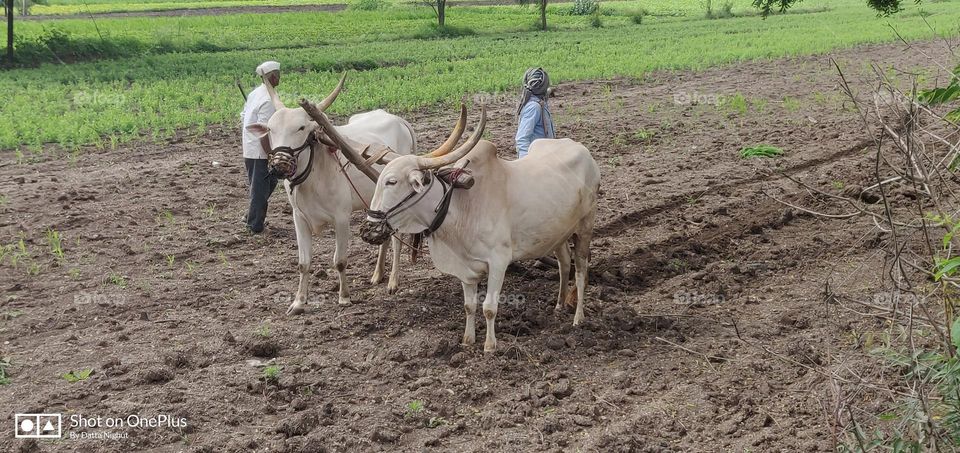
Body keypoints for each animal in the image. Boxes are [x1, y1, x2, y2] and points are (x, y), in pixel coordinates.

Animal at [245, 75, 467, 315]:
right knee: (385, 236)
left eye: (301, 127)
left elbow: (340, 260)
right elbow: (303, 263)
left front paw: (344, 297)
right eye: (270, 129)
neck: (313, 174)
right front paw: (298, 302)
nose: (279, 164)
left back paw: (393, 281)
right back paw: (378, 274)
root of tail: (398, 119)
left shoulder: (341, 218)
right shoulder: (299, 218)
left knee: (396, 241)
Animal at [326, 106, 601, 352]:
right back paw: (559, 305)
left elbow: (489, 307)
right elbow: (469, 306)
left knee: (580, 269)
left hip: (585, 226)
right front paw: (468, 340)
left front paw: (490, 346)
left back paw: (578, 317)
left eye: (391, 181)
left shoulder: (499, 261)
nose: (367, 229)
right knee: (564, 263)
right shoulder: (465, 269)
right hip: (558, 233)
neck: (460, 208)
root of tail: (583, 150)